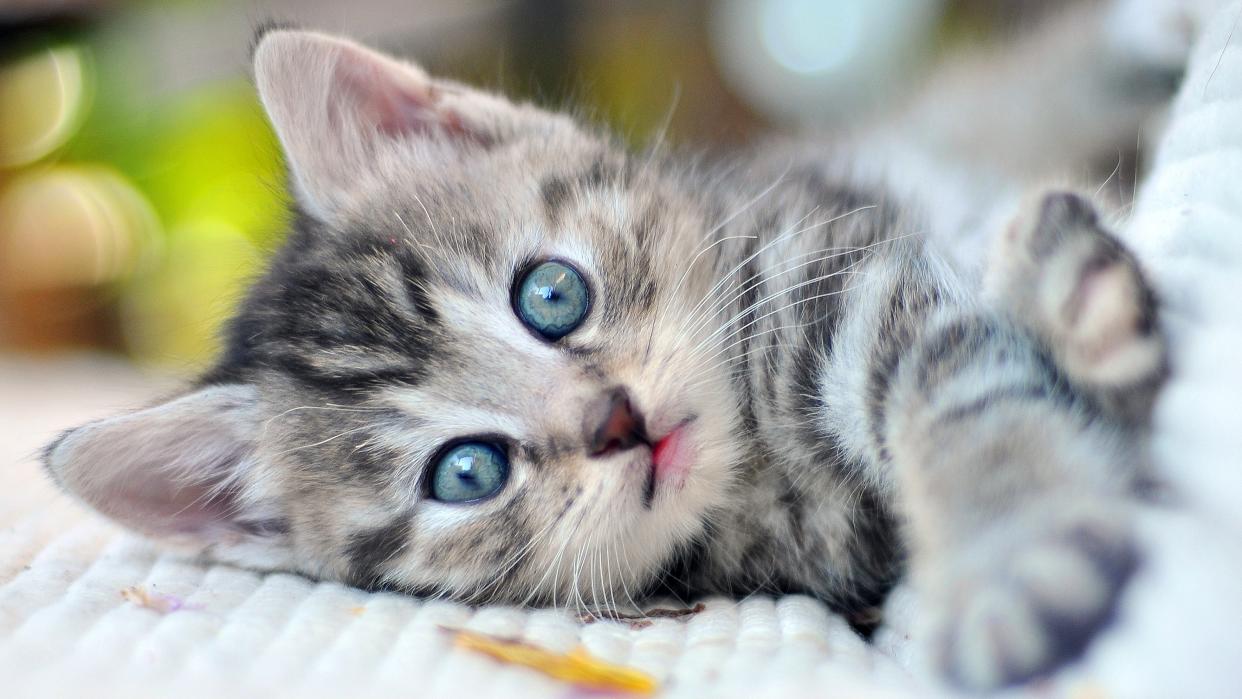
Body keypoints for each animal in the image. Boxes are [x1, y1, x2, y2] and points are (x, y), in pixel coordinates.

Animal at [41, 4, 1182, 695]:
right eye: (468, 471)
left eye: (551, 294)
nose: (615, 421)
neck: (754, 464)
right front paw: (1019, 558)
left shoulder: (843, 269)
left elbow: (952, 388)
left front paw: (1007, 546)